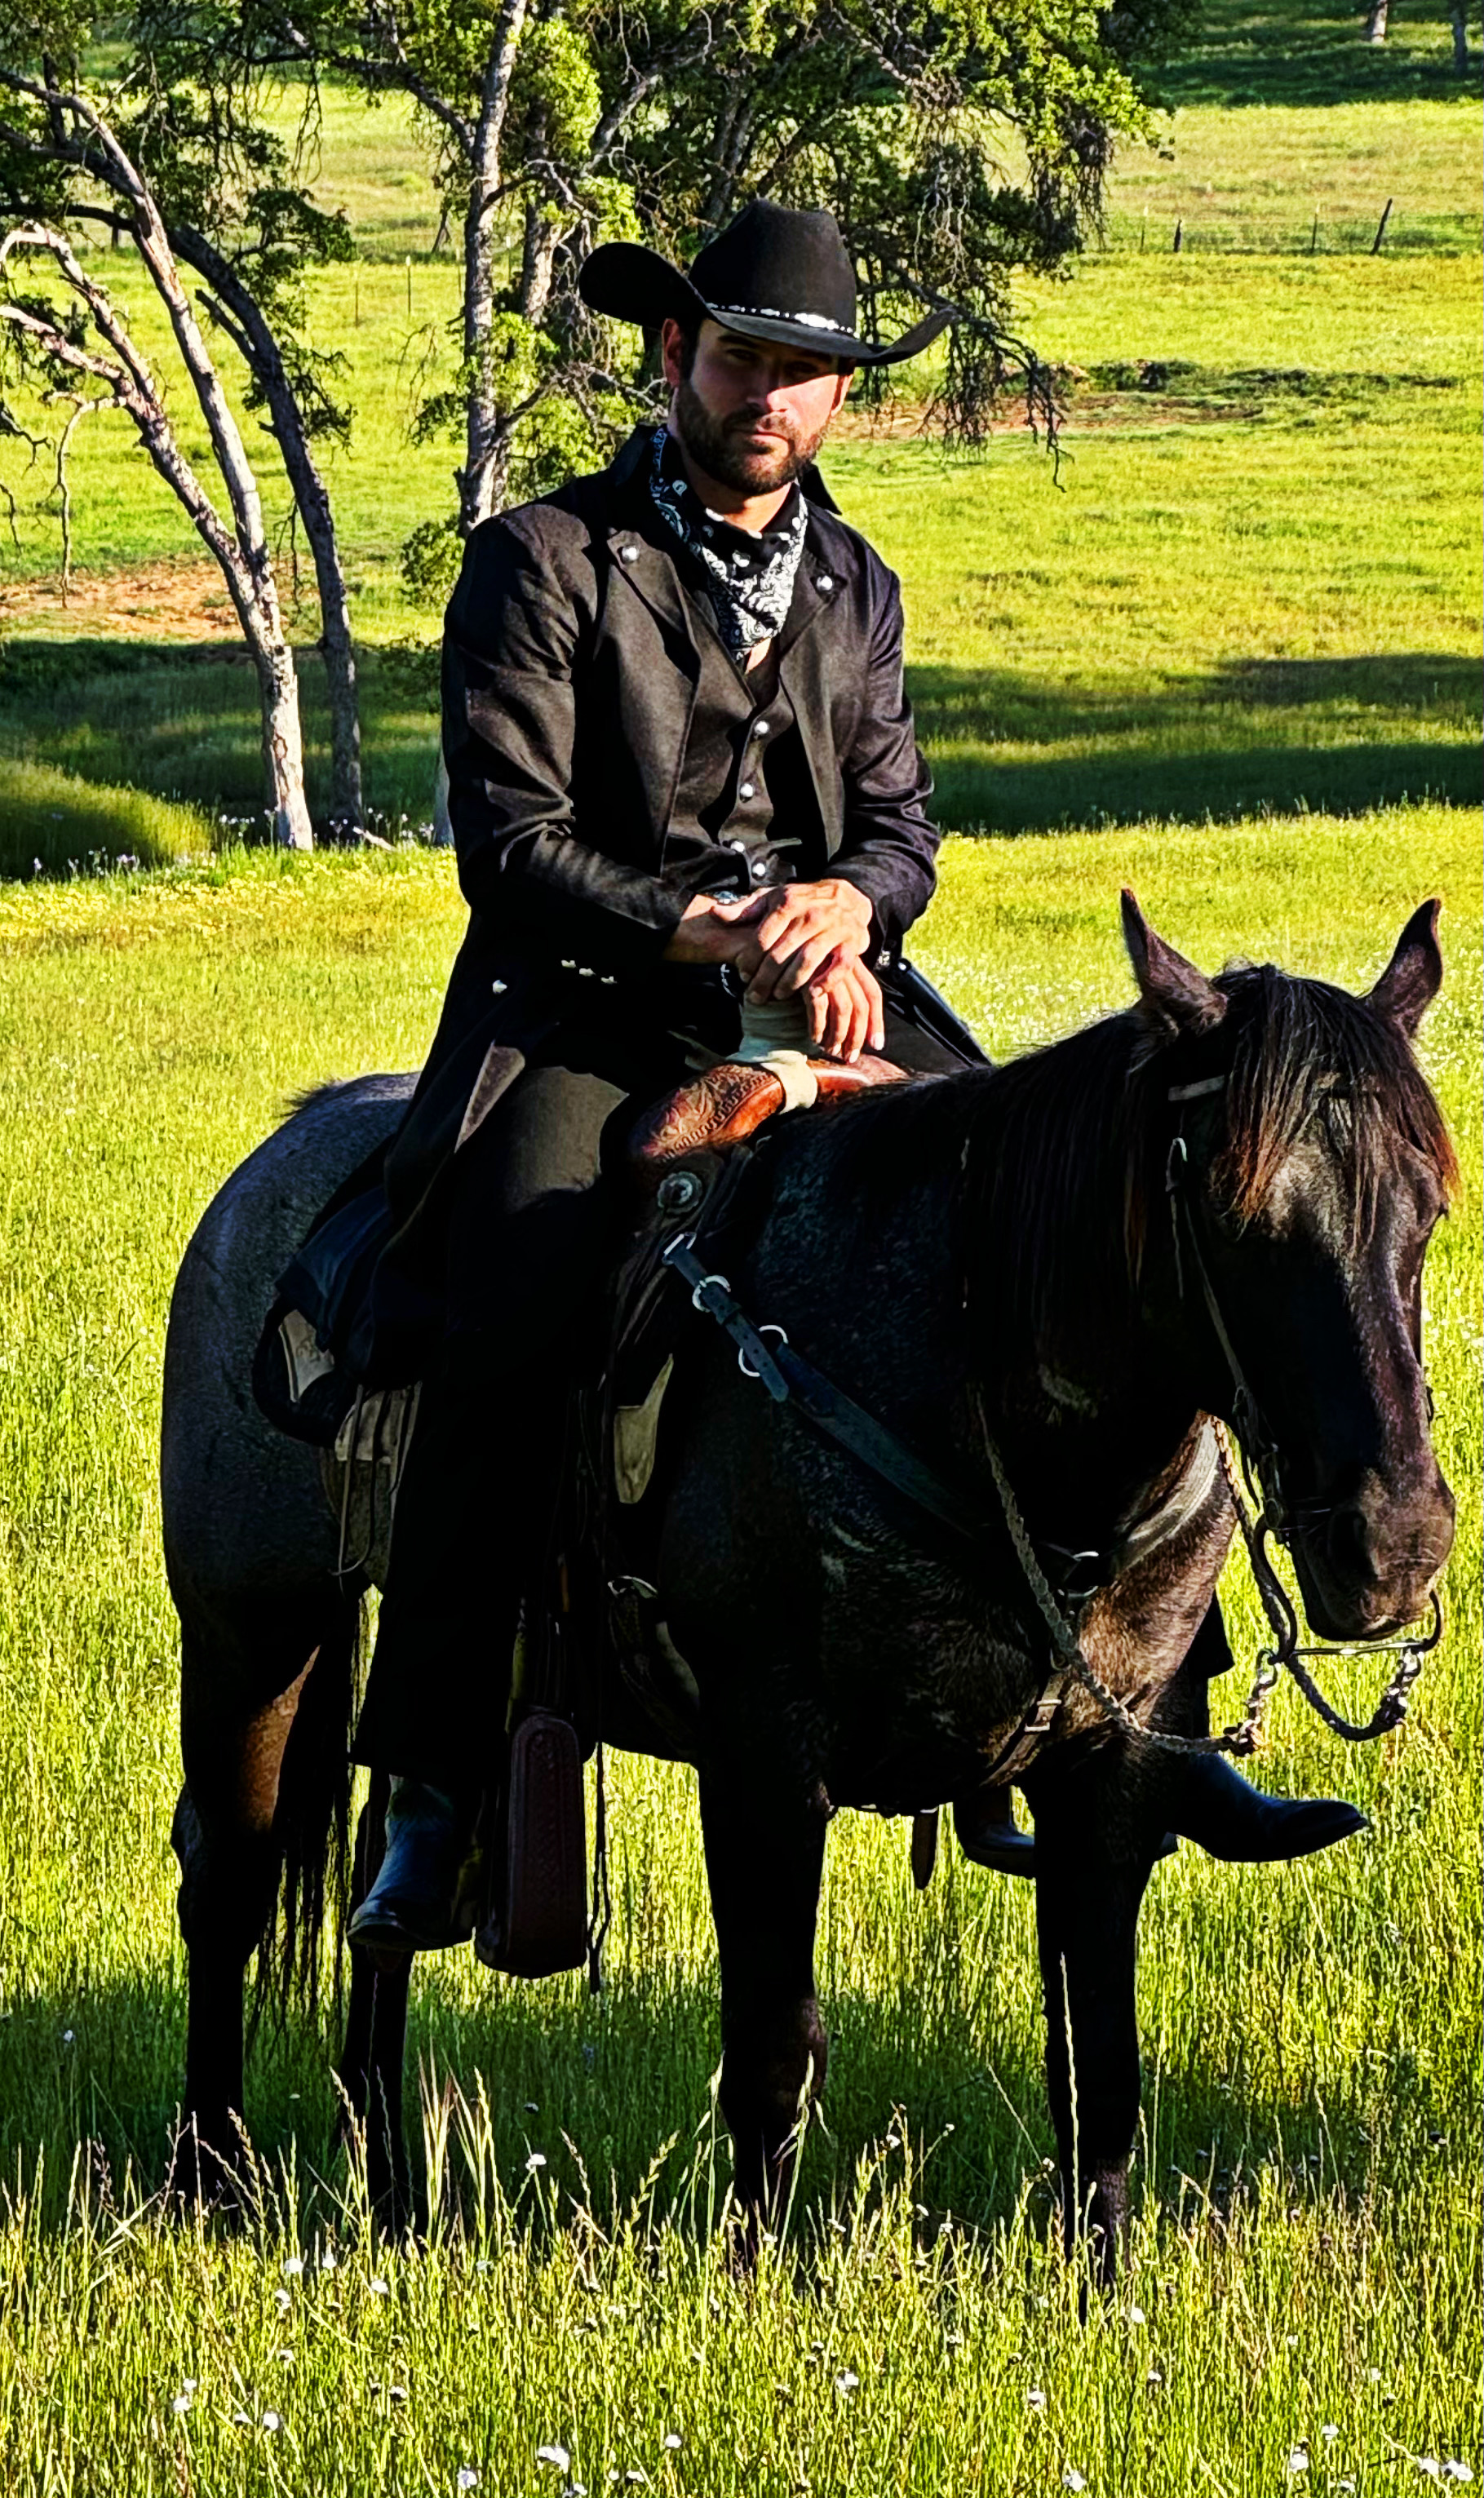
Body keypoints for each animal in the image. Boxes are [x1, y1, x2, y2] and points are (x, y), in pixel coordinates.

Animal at [158, 904, 1449, 2288]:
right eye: (1231, 1213)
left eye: (1426, 1208)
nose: (1392, 1543)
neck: (965, 1375)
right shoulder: (765, 1762)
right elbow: (775, 2039)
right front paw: (757, 2278)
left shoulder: (1103, 1771)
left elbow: (1095, 2050)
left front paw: (1097, 2279)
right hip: (249, 1632)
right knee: (228, 1881)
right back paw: (211, 2174)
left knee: (380, 1891)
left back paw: (387, 2177)